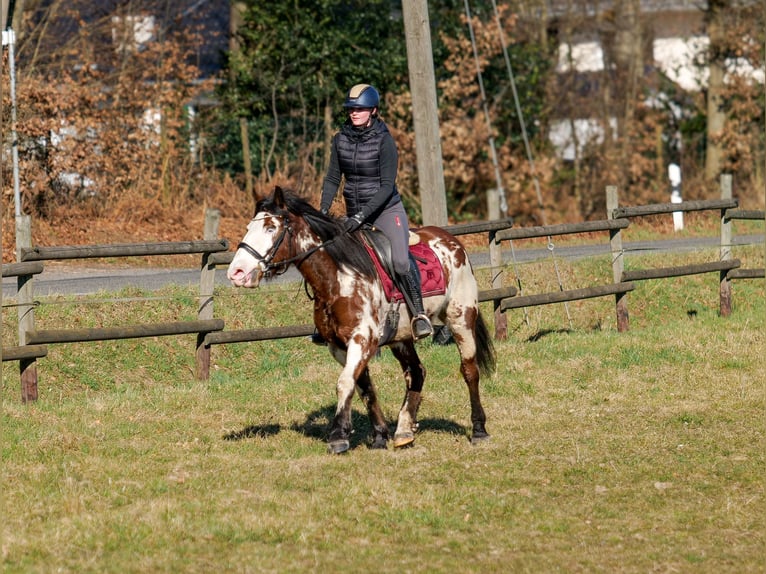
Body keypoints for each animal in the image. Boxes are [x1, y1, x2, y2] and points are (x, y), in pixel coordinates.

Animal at [226, 188, 498, 454]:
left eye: (271, 228)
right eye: (250, 227)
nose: (236, 273)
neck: (339, 278)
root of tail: (452, 241)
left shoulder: (362, 339)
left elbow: (345, 382)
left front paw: (338, 436)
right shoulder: (338, 346)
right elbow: (364, 388)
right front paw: (379, 437)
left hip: (461, 319)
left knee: (469, 371)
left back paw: (479, 431)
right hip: (401, 338)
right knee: (416, 372)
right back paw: (404, 431)